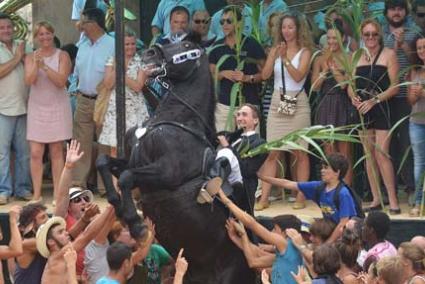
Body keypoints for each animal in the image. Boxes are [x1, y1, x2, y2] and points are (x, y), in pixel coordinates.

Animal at [96, 37, 255, 284]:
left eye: (187, 44)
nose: (150, 52)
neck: (178, 119)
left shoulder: (168, 172)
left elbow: (126, 177)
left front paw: (136, 224)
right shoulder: (135, 162)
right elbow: (104, 162)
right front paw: (117, 204)